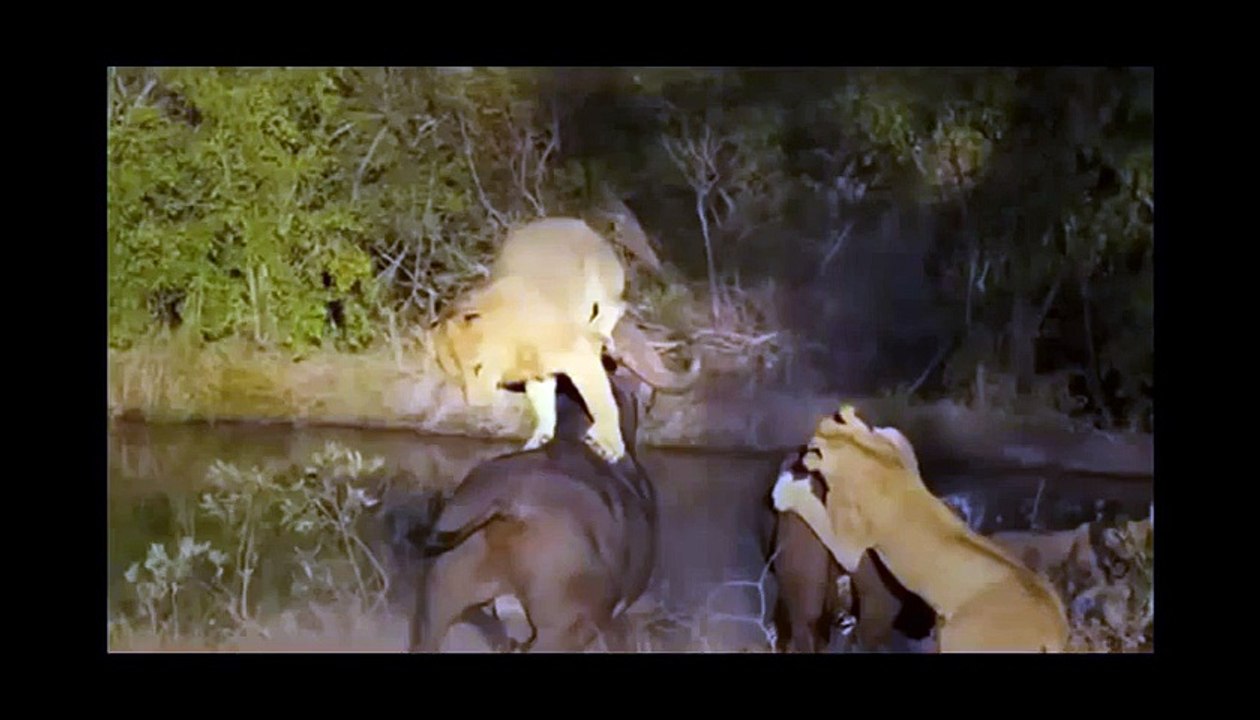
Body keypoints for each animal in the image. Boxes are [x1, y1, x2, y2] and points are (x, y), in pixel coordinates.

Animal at [429, 273, 698, 462]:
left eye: (478, 368)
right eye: (459, 379)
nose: (477, 404)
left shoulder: (571, 357)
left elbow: (599, 400)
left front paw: (606, 444)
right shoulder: (545, 369)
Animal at [772, 405, 1070, 653]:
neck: (865, 455)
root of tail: (1052, 629)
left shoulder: (849, 544)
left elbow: (817, 514)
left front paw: (786, 491)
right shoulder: (899, 452)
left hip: (959, 640)